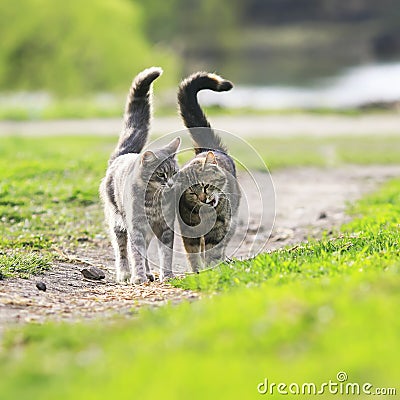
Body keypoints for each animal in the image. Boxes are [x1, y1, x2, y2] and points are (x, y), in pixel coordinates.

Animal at [99, 67, 180, 282]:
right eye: (161, 175)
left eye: (174, 172)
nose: (171, 183)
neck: (153, 201)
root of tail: (123, 154)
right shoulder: (135, 228)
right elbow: (135, 254)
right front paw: (138, 277)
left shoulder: (165, 229)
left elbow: (165, 255)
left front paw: (166, 275)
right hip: (118, 223)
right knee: (122, 251)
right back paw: (125, 274)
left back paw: (149, 273)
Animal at [176, 72, 239, 272]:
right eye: (192, 193)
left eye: (206, 186)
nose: (203, 199)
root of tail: (207, 149)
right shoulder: (188, 228)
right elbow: (193, 253)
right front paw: (198, 271)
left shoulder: (220, 226)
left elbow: (213, 249)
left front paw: (212, 268)